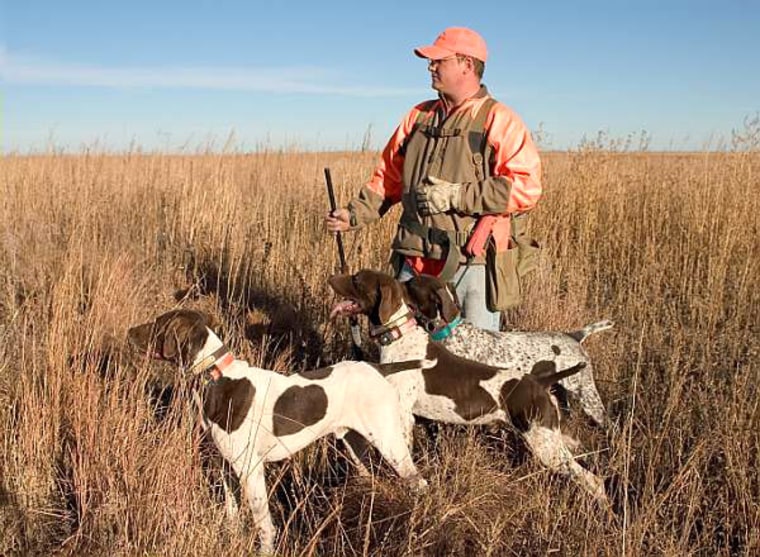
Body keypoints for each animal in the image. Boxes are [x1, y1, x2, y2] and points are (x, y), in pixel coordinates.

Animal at [128, 308, 430, 552]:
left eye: (158, 324)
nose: (129, 331)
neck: (216, 376)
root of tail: (377, 368)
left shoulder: (250, 470)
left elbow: (263, 524)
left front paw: (265, 550)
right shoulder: (225, 466)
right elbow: (232, 513)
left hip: (390, 443)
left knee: (419, 483)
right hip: (355, 445)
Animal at [330, 270, 608, 508]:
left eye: (356, 279)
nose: (332, 278)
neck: (400, 337)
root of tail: (539, 382)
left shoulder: (403, 415)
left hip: (549, 441)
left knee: (594, 480)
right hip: (552, 435)